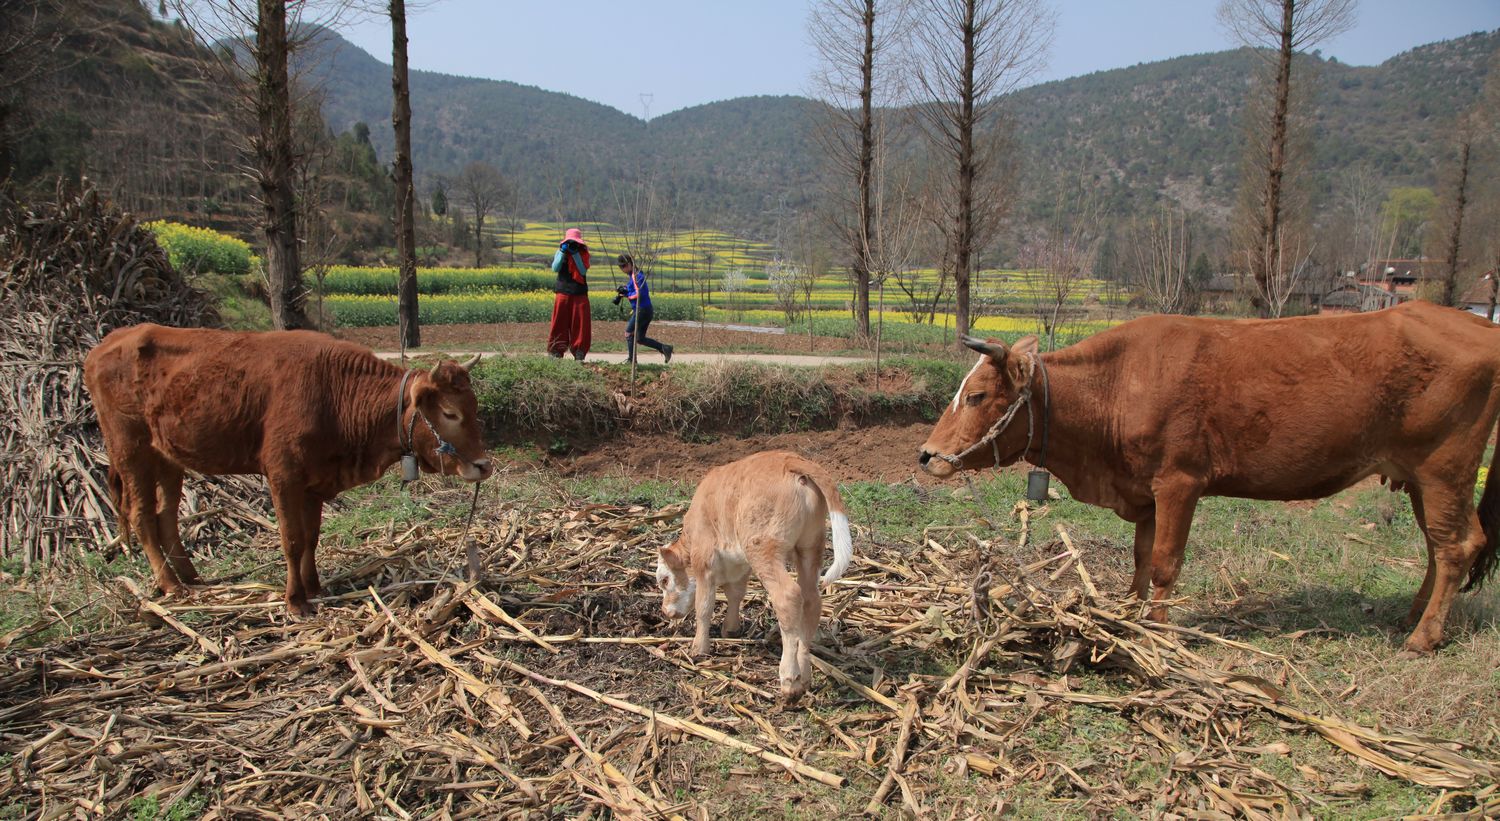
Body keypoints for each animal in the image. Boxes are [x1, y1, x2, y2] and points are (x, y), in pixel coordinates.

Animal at [83, 325, 492, 618]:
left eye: (474, 406)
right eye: (450, 413)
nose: (482, 465)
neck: (335, 393)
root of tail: (106, 344)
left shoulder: (313, 484)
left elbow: (311, 538)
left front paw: (315, 588)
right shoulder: (283, 476)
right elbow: (293, 540)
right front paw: (295, 601)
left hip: (167, 458)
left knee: (165, 516)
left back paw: (191, 578)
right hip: (131, 451)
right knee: (141, 517)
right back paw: (171, 585)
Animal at [654, 453, 852, 702]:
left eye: (664, 580)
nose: (665, 611)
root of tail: (791, 459)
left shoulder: (704, 560)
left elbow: (704, 606)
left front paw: (699, 648)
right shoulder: (739, 564)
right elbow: (735, 594)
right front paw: (730, 629)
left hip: (763, 548)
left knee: (787, 596)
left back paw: (789, 680)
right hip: (809, 546)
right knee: (811, 601)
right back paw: (805, 676)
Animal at [912, 301, 1500, 654]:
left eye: (977, 395)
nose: (926, 455)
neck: (1117, 384)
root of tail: (1477, 323)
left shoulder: (1180, 483)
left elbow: (1165, 563)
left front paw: (1157, 629)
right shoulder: (1145, 489)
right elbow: (1141, 555)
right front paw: (1129, 611)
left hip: (1444, 470)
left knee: (1457, 546)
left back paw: (1423, 637)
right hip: (1421, 480)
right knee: (1438, 546)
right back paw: (1413, 617)